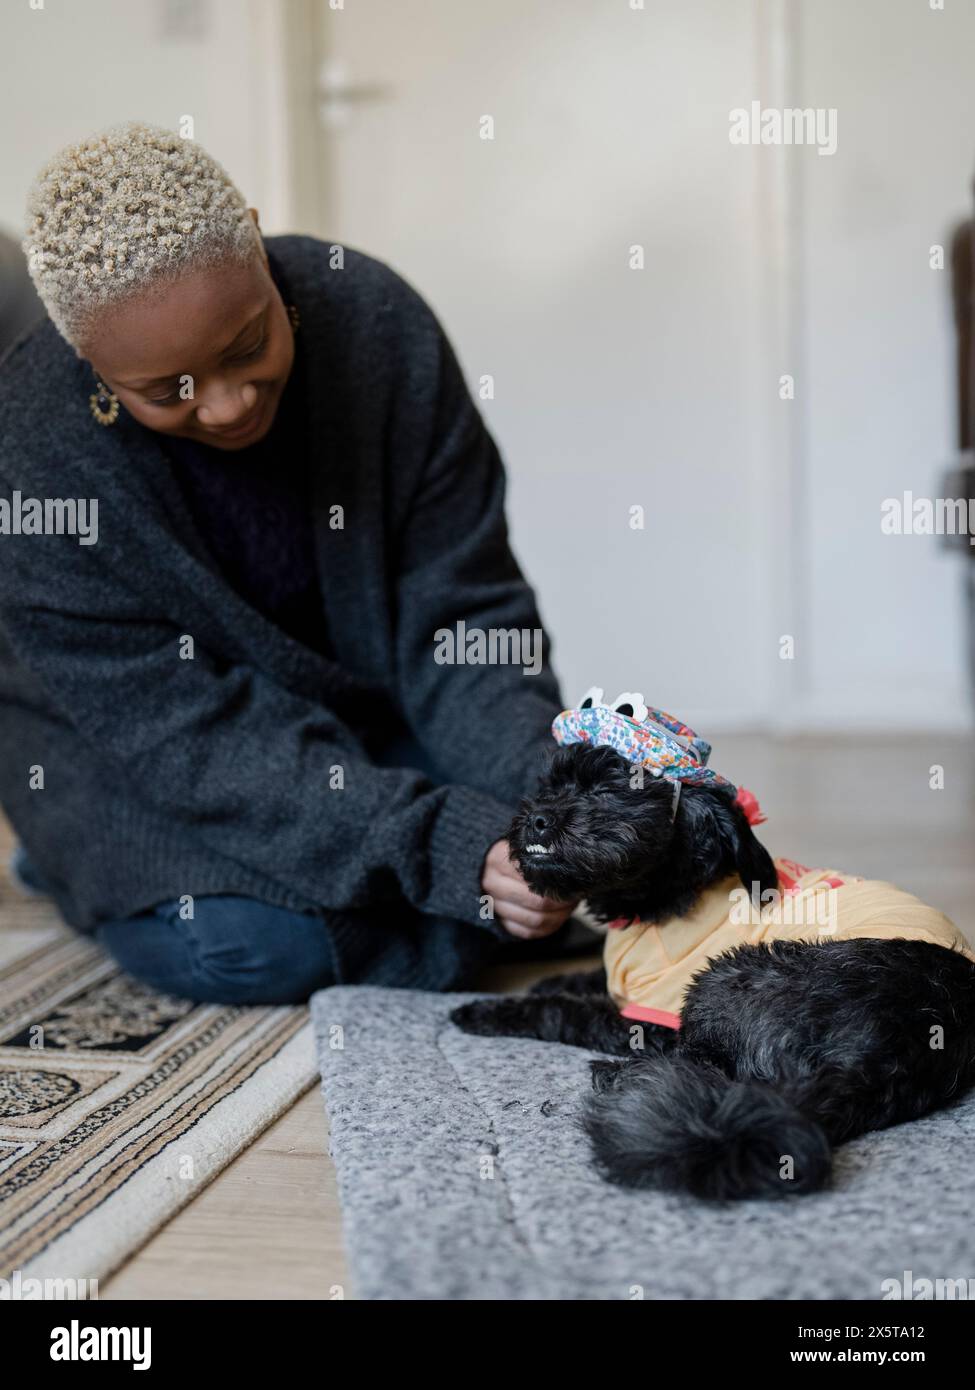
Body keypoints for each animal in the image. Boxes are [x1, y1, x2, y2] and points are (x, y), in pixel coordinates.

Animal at [447, 745, 973, 1200]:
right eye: (548, 786)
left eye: (608, 790)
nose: (536, 818)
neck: (657, 899)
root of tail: (885, 1057)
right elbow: (590, 979)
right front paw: (554, 978)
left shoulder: (650, 1018)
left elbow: (568, 1012)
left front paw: (487, 1012)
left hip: (723, 976)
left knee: (702, 1063)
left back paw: (620, 1076)